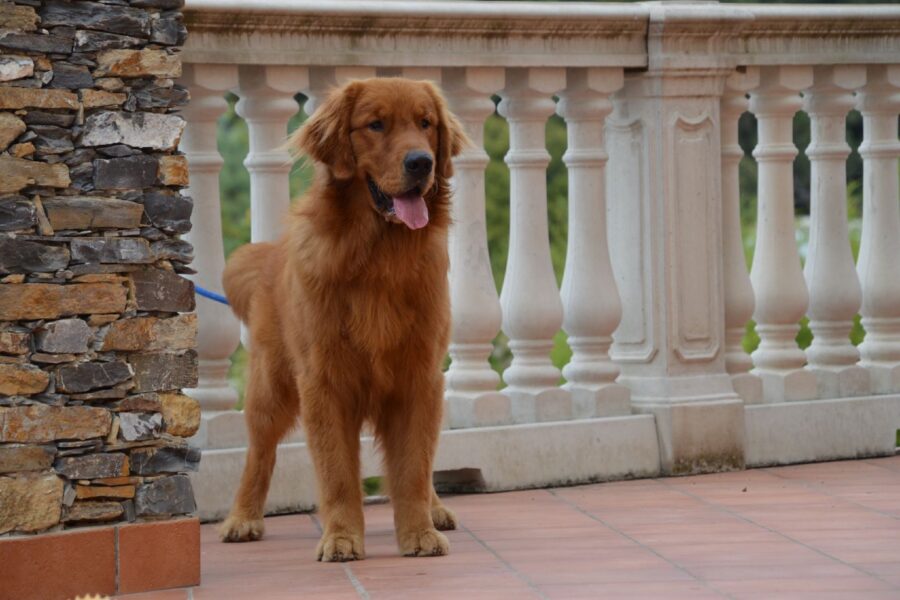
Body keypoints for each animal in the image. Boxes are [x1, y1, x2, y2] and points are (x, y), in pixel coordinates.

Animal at [221, 78, 468, 564]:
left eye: (425, 124)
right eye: (375, 125)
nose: (422, 162)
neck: (379, 258)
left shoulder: (420, 378)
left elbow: (414, 466)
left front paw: (419, 531)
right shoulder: (324, 382)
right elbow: (336, 472)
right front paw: (341, 536)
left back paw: (436, 509)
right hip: (270, 387)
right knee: (259, 453)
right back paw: (242, 517)